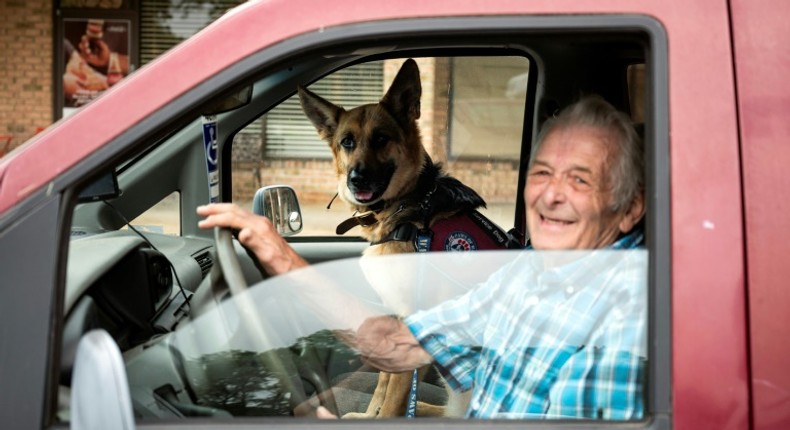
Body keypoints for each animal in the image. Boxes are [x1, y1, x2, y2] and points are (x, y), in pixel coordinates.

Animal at [296, 59, 512, 416]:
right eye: (347, 142)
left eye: (381, 139)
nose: (356, 179)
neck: (411, 209)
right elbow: (383, 386)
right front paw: (368, 414)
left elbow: (394, 400)